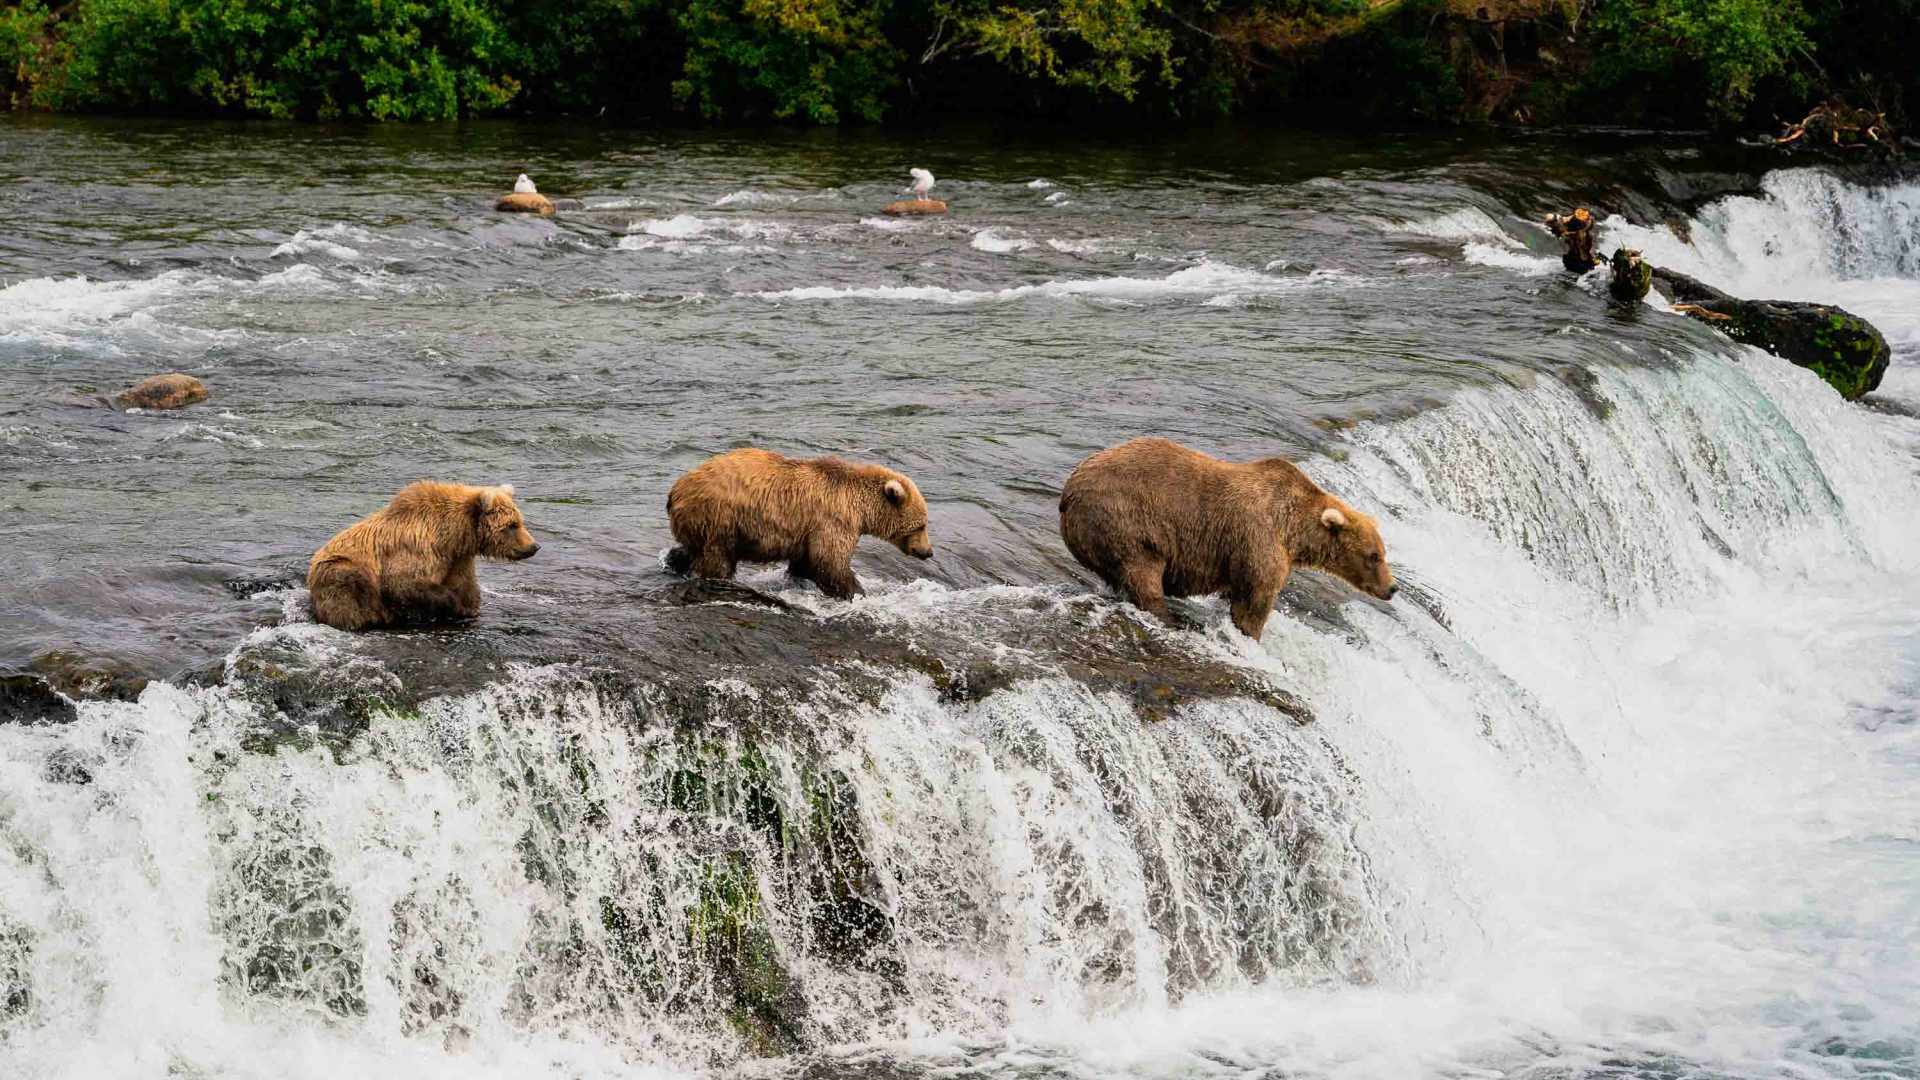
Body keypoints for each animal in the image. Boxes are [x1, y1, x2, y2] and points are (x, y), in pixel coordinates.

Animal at [668, 445, 936, 595]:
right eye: (921, 525)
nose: (928, 552)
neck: (861, 508)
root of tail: (677, 489)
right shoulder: (833, 520)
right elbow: (831, 563)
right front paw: (857, 591)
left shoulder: (808, 531)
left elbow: (806, 562)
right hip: (721, 518)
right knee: (718, 559)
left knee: (690, 549)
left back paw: (675, 561)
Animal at [1059, 438, 1405, 638]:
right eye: (1373, 556)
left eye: (1382, 553)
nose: (1392, 588)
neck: (1295, 532)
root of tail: (1068, 491)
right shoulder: (1258, 539)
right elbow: (1254, 600)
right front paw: (1251, 635)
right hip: (1125, 520)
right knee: (1141, 571)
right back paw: (1171, 618)